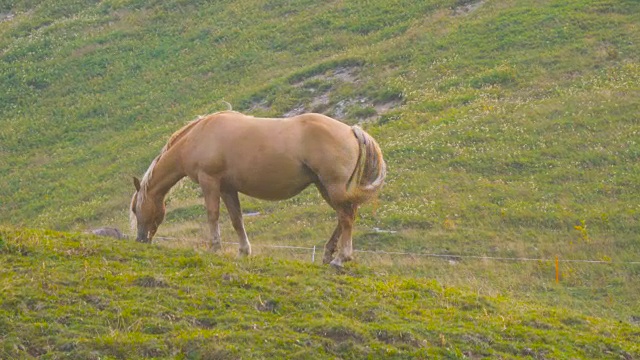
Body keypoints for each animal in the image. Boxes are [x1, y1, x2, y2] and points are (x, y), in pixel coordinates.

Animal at [130, 110, 384, 268]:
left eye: (134, 209)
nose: (141, 239)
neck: (199, 135)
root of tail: (351, 130)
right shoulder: (228, 188)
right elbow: (236, 219)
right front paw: (243, 251)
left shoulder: (209, 181)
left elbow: (213, 215)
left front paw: (214, 248)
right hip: (325, 187)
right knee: (345, 216)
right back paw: (328, 254)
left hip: (333, 186)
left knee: (346, 218)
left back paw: (340, 259)